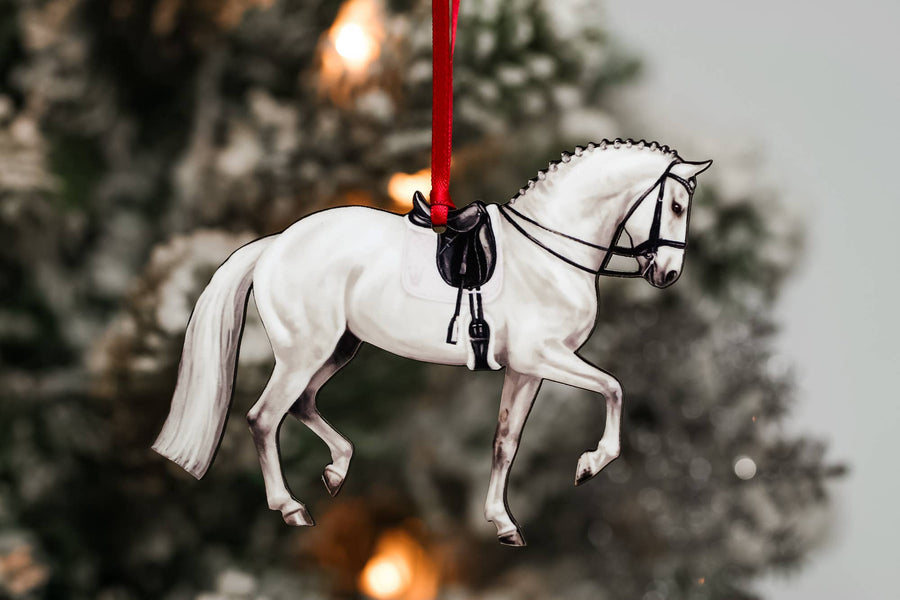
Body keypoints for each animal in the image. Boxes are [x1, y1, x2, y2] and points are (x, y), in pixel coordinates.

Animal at [152, 139, 712, 546]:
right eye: (676, 204)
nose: (668, 274)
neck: (549, 252)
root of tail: (275, 244)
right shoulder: (545, 357)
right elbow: (614, 387)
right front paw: (589, 465)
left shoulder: (526, 370)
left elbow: (505, 442)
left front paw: (503, 523)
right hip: (303, 353)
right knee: (265, 418)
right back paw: (291, 509)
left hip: (337, 349)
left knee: (303, 404)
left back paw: (337, 470)